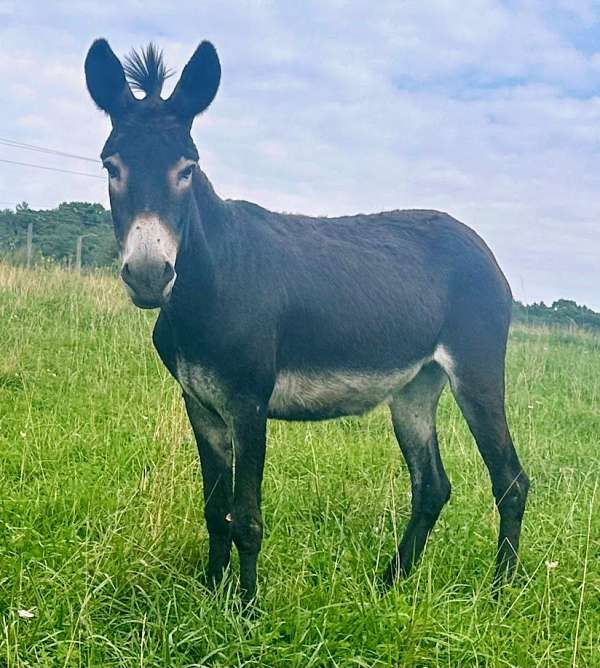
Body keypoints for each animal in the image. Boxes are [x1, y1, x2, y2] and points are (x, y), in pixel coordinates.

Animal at [84, 39, 529, 602]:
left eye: (187, 168)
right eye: (110, 165)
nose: (147, 275)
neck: (212, 278)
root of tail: (477, 242)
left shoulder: (248, 403)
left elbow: (246, 518)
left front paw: (245, 610)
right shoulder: (200, 404)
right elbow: (214, 509)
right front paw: (210, 592)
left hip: (476, 369)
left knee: (510, 480)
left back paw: (500, 592)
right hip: (415, 385)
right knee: (432, 485)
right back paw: (390, 583)